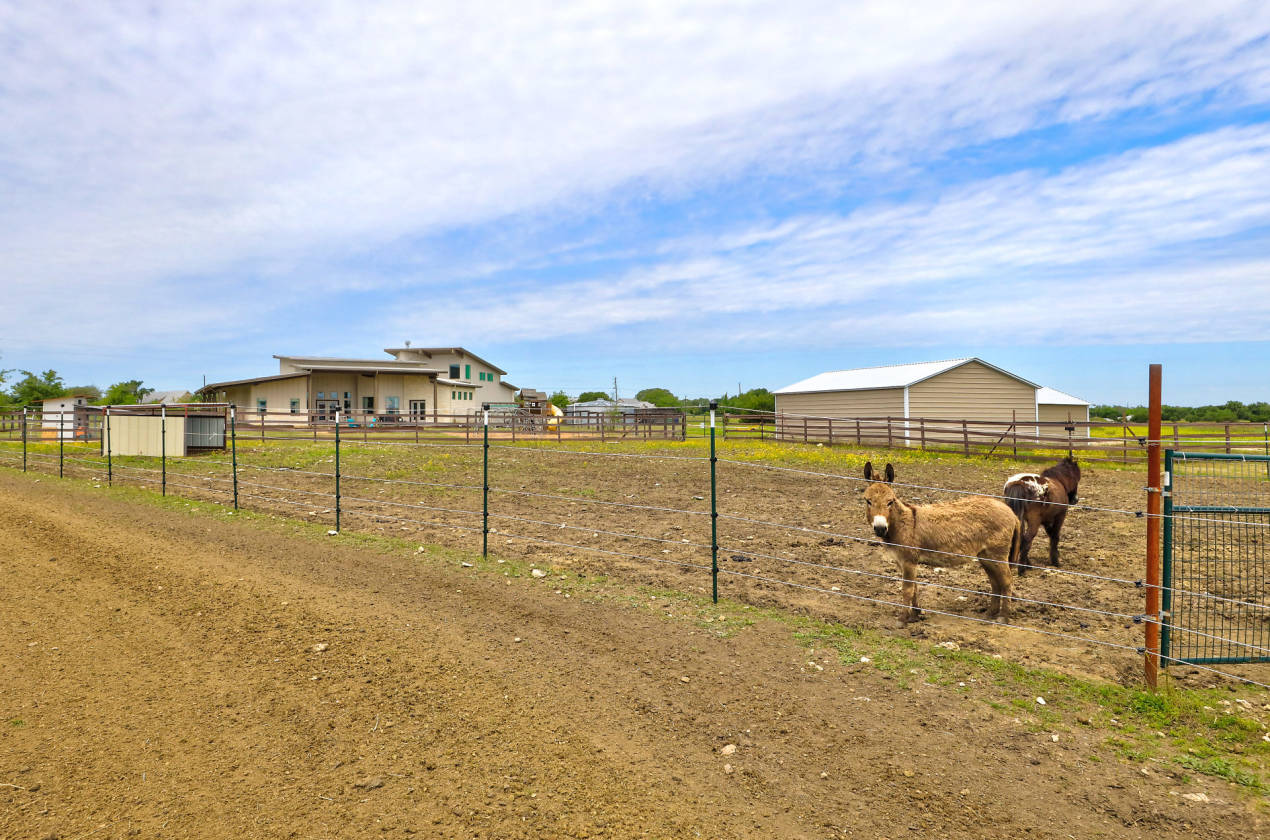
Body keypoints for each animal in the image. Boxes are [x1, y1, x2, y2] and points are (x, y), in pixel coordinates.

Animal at [863, 462, 1020, 623]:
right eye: (868, 501)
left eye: (890, 502)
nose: (880, 528)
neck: (903, 523)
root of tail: (1011, 512)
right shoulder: (901, 562)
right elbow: (914, 588)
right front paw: (916, 614)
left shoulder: (909, 561)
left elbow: (907, 590)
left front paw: (903, 619)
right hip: (986, 557)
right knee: (995, 582)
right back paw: (990, 613)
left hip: (997, 556)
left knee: (1007, 581)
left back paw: (1003, 617)